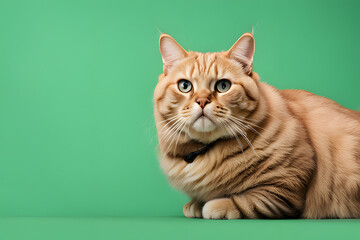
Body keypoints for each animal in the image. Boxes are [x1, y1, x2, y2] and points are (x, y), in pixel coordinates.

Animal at [153, 32, 360, 219]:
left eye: (223, 86)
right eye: (185, 86)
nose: (202, 101)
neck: (207, 151)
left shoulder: (287, 184)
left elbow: (247, 201)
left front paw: (213, 205)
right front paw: (196, 204)